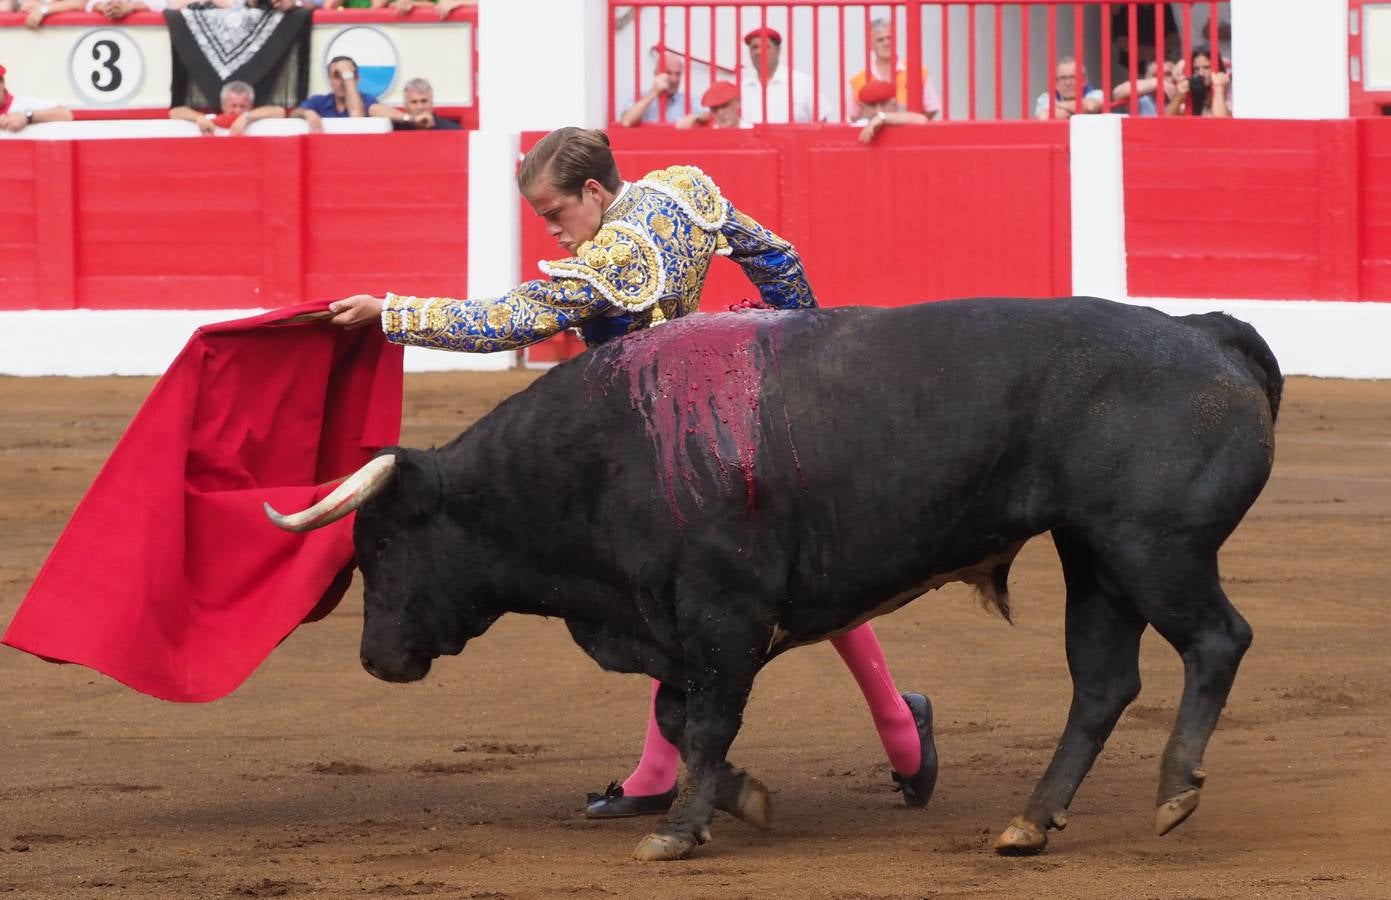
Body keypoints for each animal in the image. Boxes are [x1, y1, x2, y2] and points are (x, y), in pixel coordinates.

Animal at [268, 296, 1279, 856]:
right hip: (1093, 557)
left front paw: (675, 833)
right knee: (1101, 683)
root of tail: (1204, 334)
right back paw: (1029, 823)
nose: (375, 658)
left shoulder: (722, 615)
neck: (599, 455)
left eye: (381, 546)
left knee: (1218, 641)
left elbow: (709, 718)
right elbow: (681, 718)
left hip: (1152, 546)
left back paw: (1174, 790)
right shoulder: (676, 626)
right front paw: (732, 798)